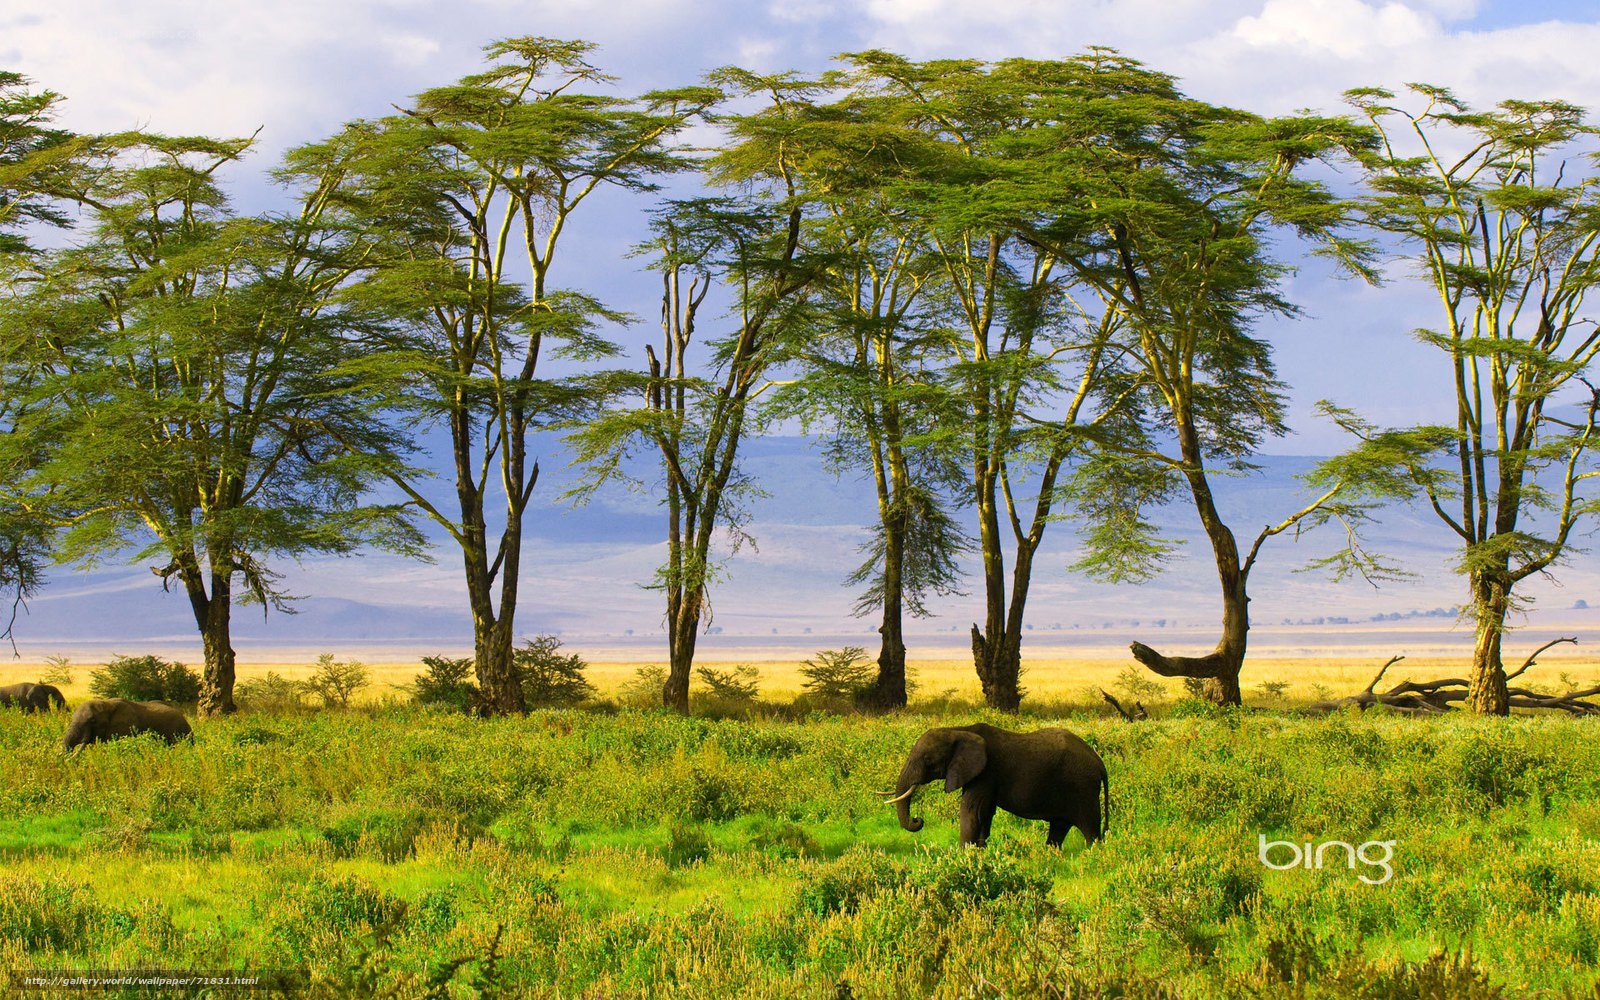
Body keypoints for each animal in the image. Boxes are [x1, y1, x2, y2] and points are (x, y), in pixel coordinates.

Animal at [885, 723, 1108, 848]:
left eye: (927, 760)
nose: (917, 820)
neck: (959, 730)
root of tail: (1099, 762)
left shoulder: (986, 772)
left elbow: (972, 811)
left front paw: (963, 856)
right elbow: (985, 814)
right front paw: (979, 853)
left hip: (1083, 788)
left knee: (1090, 829)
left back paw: (1094, 855)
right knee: (1059, 827)